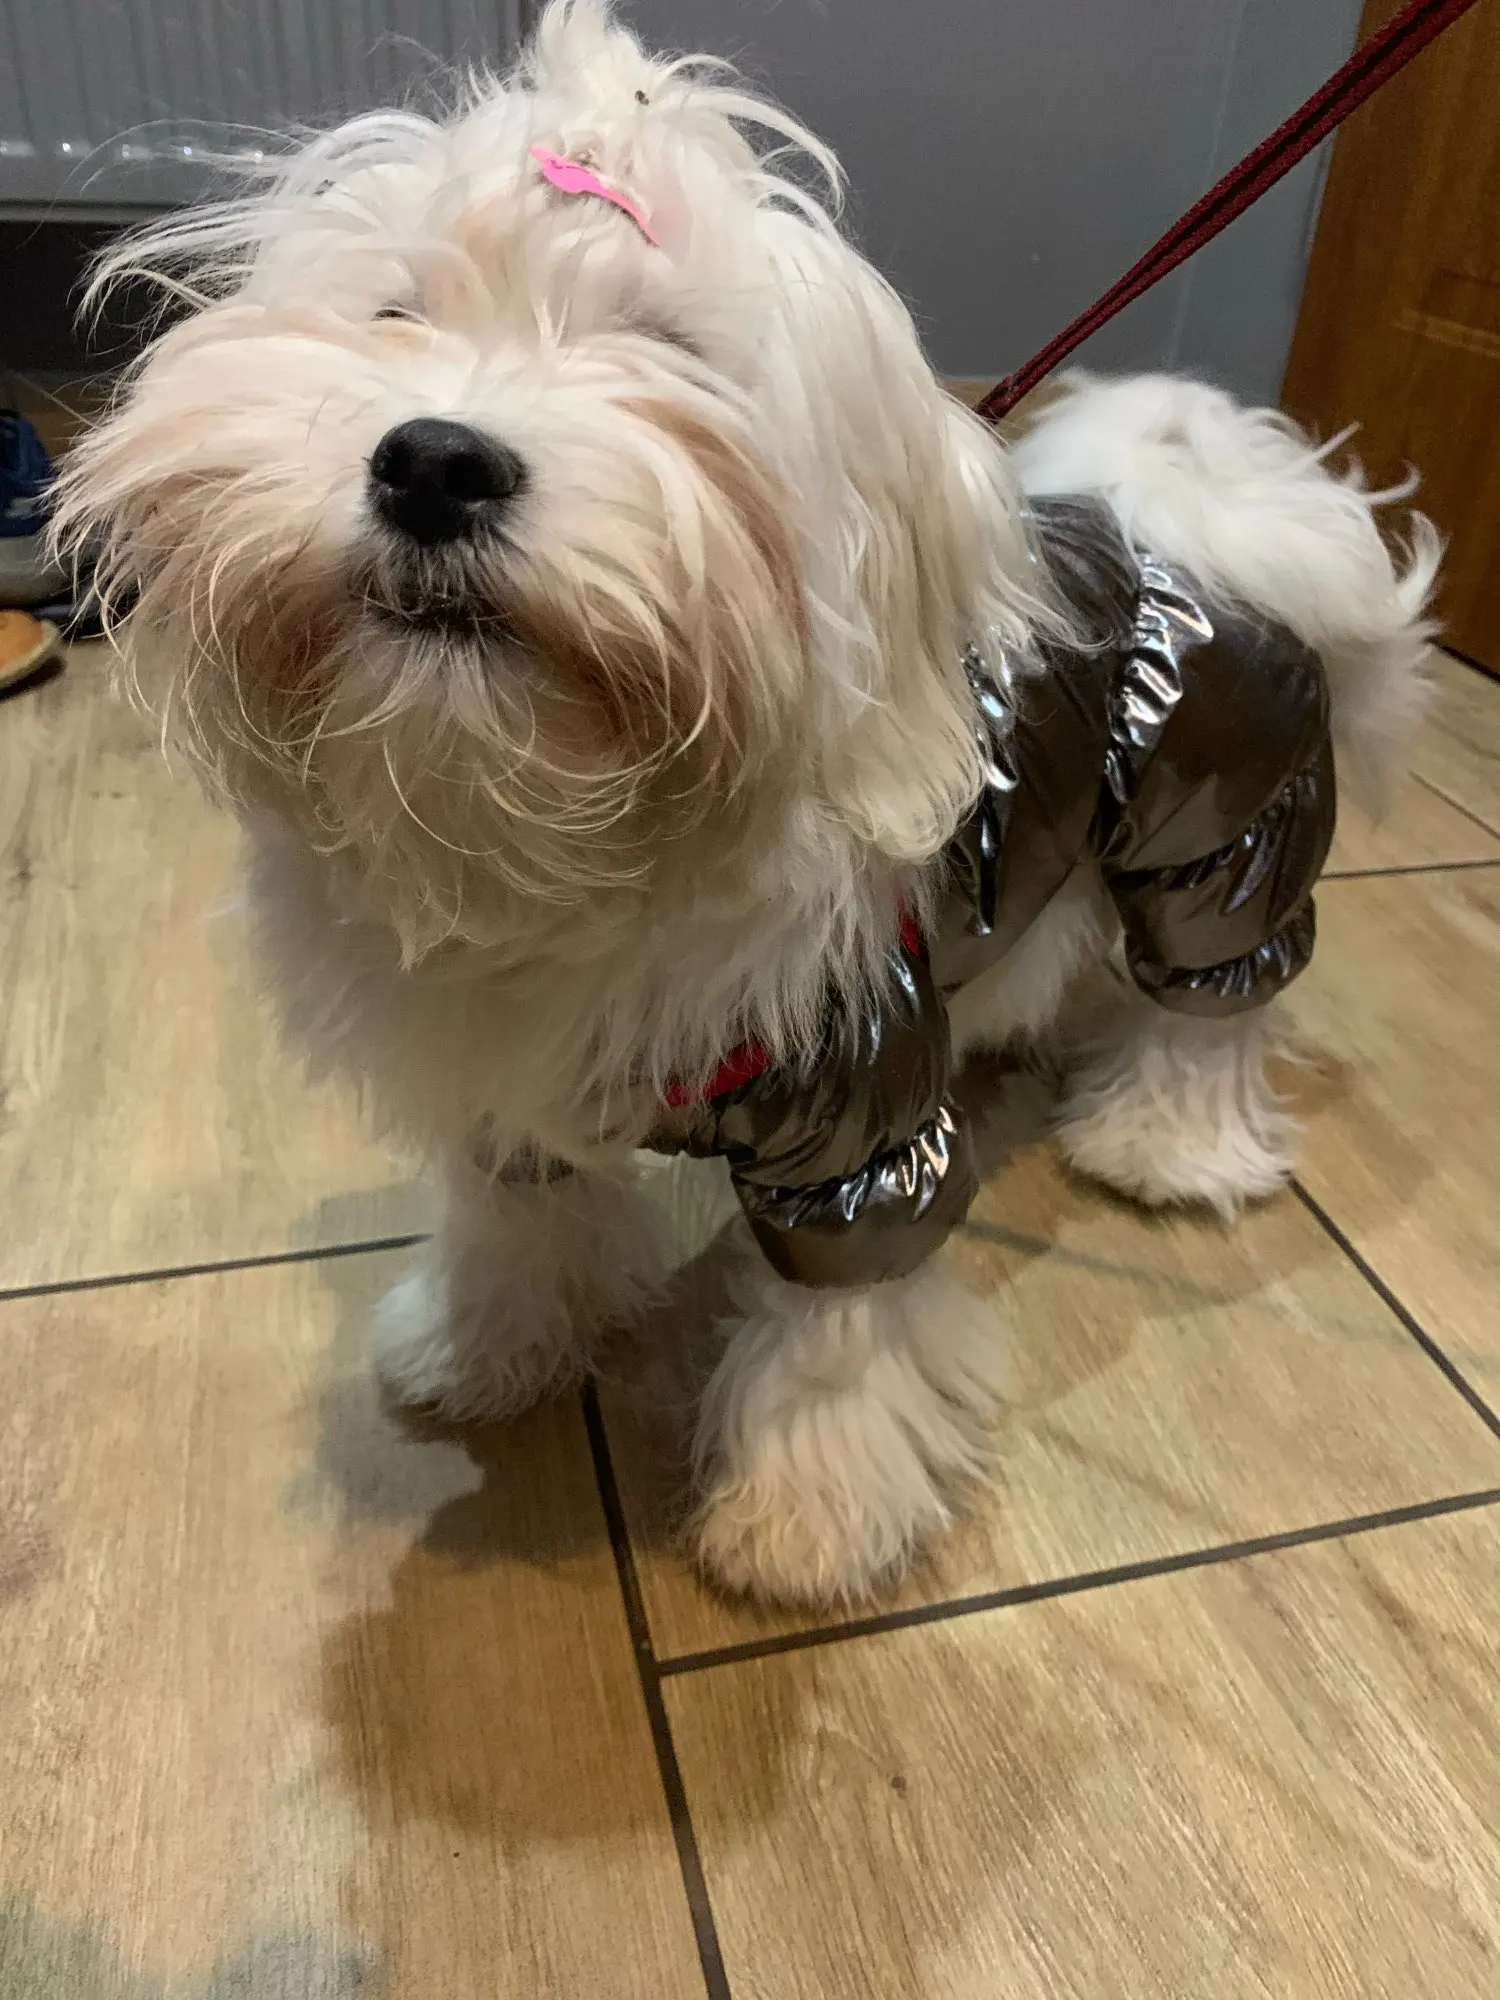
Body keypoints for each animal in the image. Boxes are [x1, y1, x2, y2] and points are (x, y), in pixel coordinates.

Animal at [58, 0, 1438, 1607]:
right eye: (398, 314)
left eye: (668, 354)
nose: (435, 459)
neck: (562, 815)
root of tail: (1205, 527)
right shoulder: (512, 1093)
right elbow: (513, 1222)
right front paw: (484, 1349)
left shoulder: (860, 1119)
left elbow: (840, 1336)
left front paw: (804, 1515)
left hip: (1218, 842)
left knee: (1213, 1009)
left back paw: (1166, 1146)